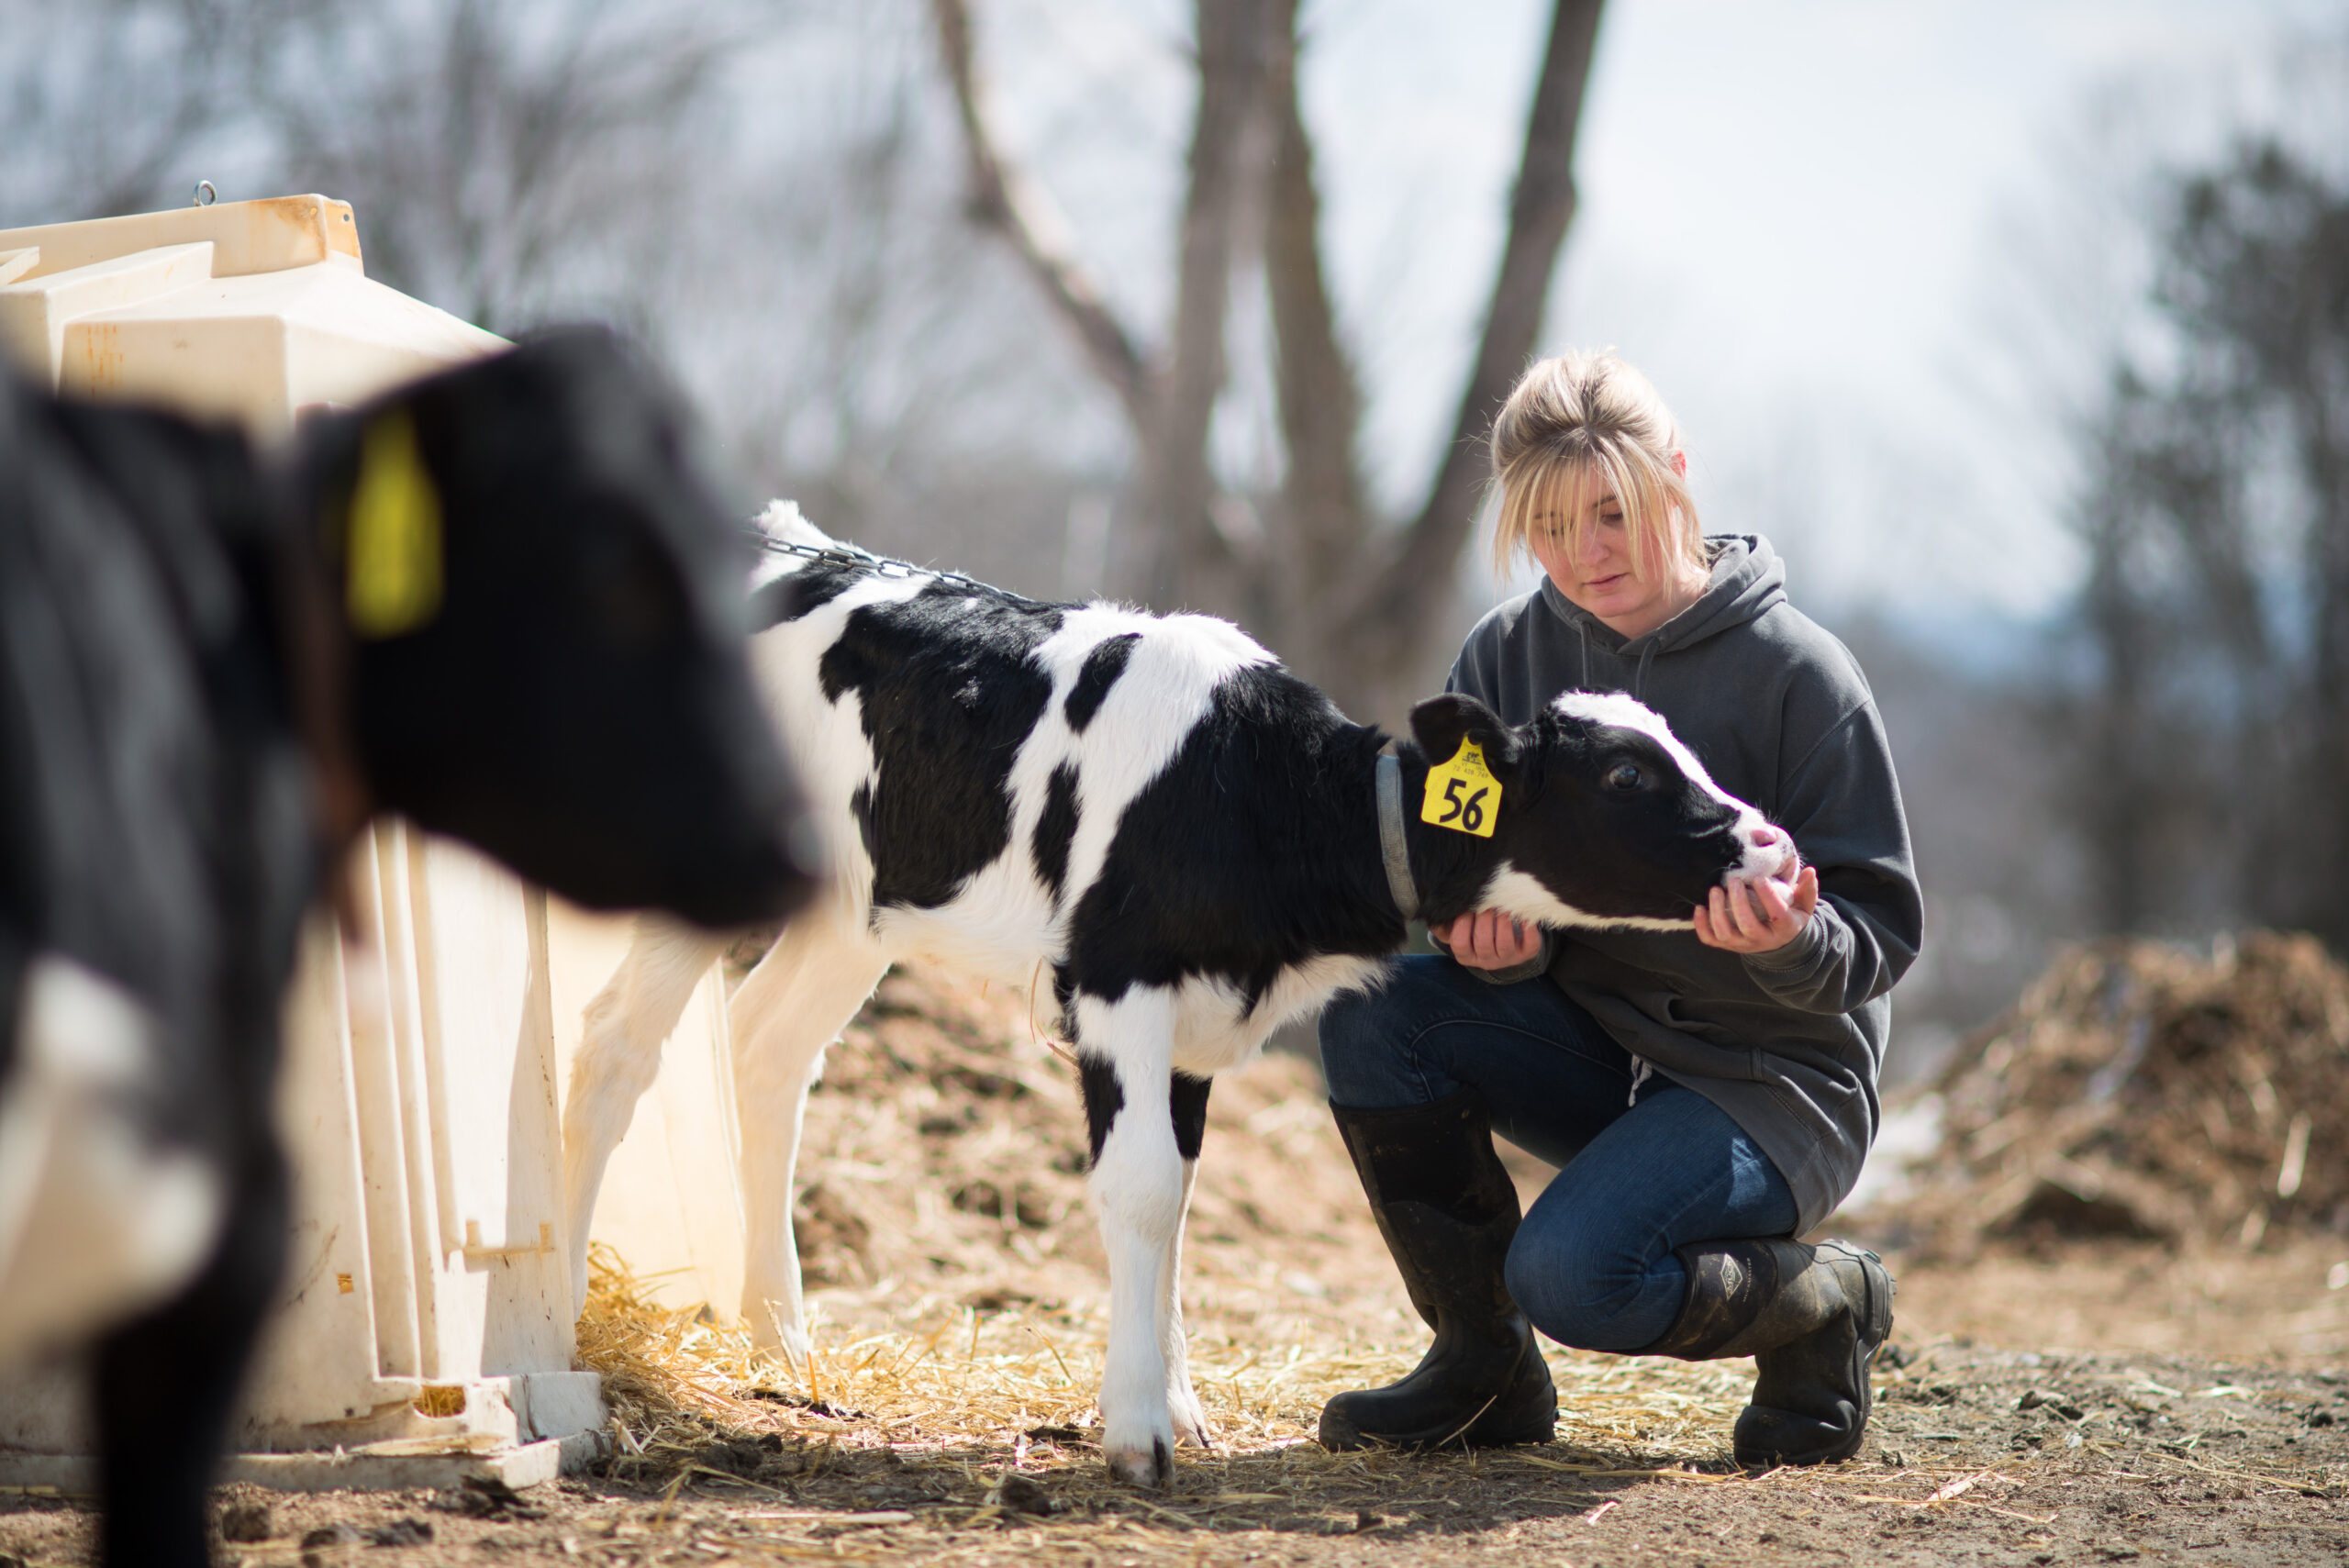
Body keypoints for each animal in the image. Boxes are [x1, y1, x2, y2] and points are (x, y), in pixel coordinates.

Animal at [568, 509, 1776, 1493]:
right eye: (1624, 775)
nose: (1768, 847)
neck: (1251, 791)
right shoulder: (1116, 981)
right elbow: (1141, 1188)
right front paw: (1137, 1429)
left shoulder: (1199, 1016)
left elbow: (1180, 1198)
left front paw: (1180, 1404)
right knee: (613, 1046)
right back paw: (569, 1337)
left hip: (850, 906)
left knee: (765, 1051)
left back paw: (782, 1344)